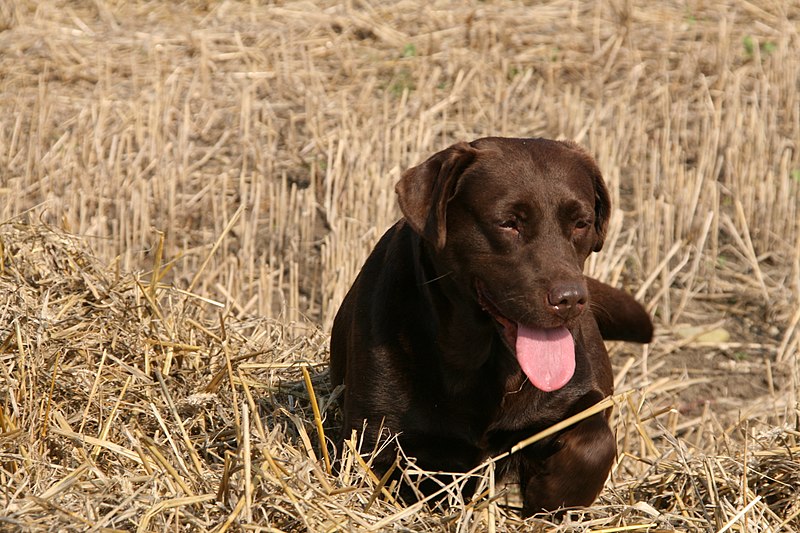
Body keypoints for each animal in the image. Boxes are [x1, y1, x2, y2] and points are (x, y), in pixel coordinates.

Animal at [328, 137, 652, 516]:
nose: (571, 299)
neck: (487, 363)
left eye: (581, 223)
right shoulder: (374, 441)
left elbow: (598, 441)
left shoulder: (575, 399)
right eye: (508, 223)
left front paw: (550, 494)